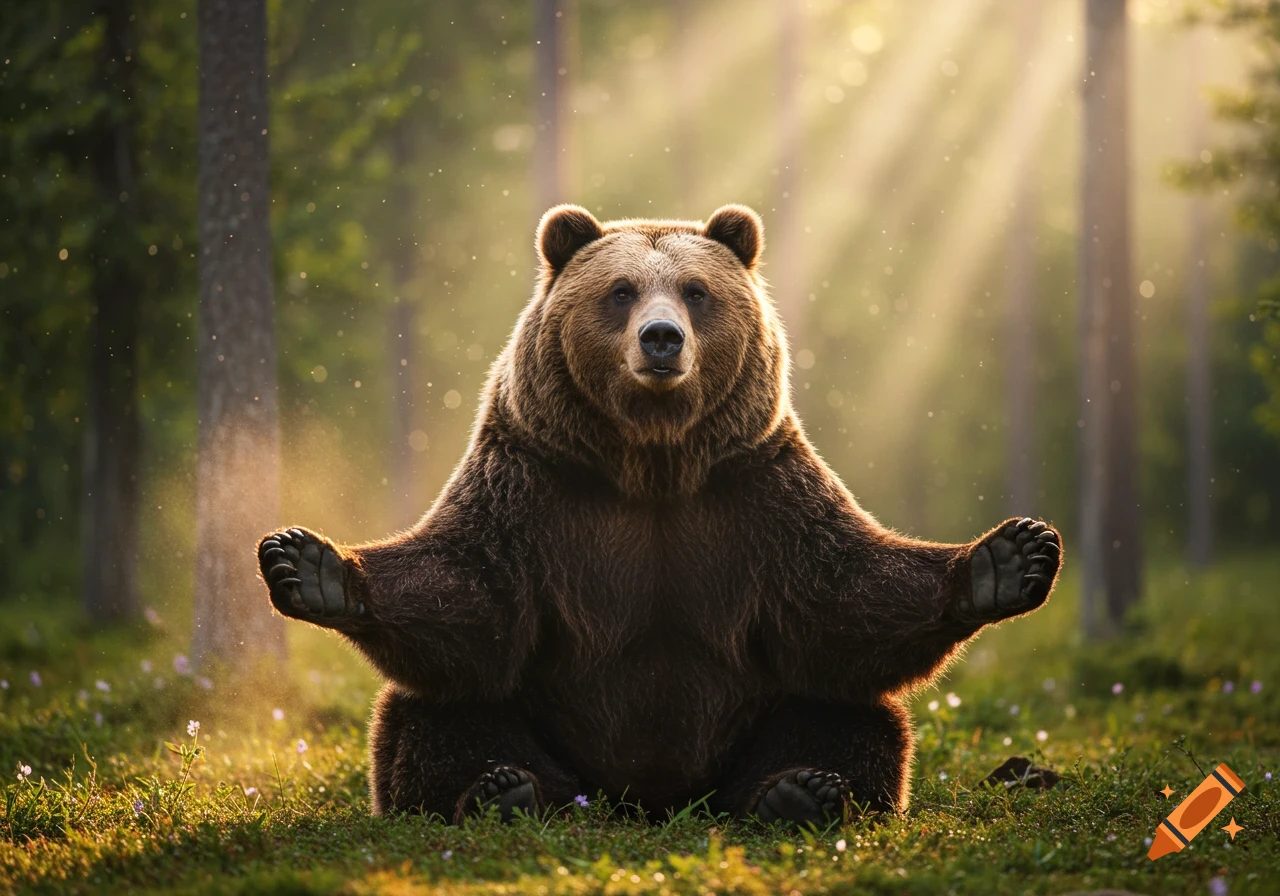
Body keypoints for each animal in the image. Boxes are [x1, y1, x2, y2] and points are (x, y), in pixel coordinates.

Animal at [258, 204, 1062, 826]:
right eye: (620, 290)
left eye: (696, 291)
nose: (661, 337)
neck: (652, 462)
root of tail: (647, 800)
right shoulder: (534, 485)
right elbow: (472, 592)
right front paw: (310, 564)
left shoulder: (756, 489)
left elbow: (838, 596)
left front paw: (1009, 557)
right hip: (551, 727)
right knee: (437, 710)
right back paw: (502, 789)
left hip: (752, 718)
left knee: (848, 710)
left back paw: (802, 792)